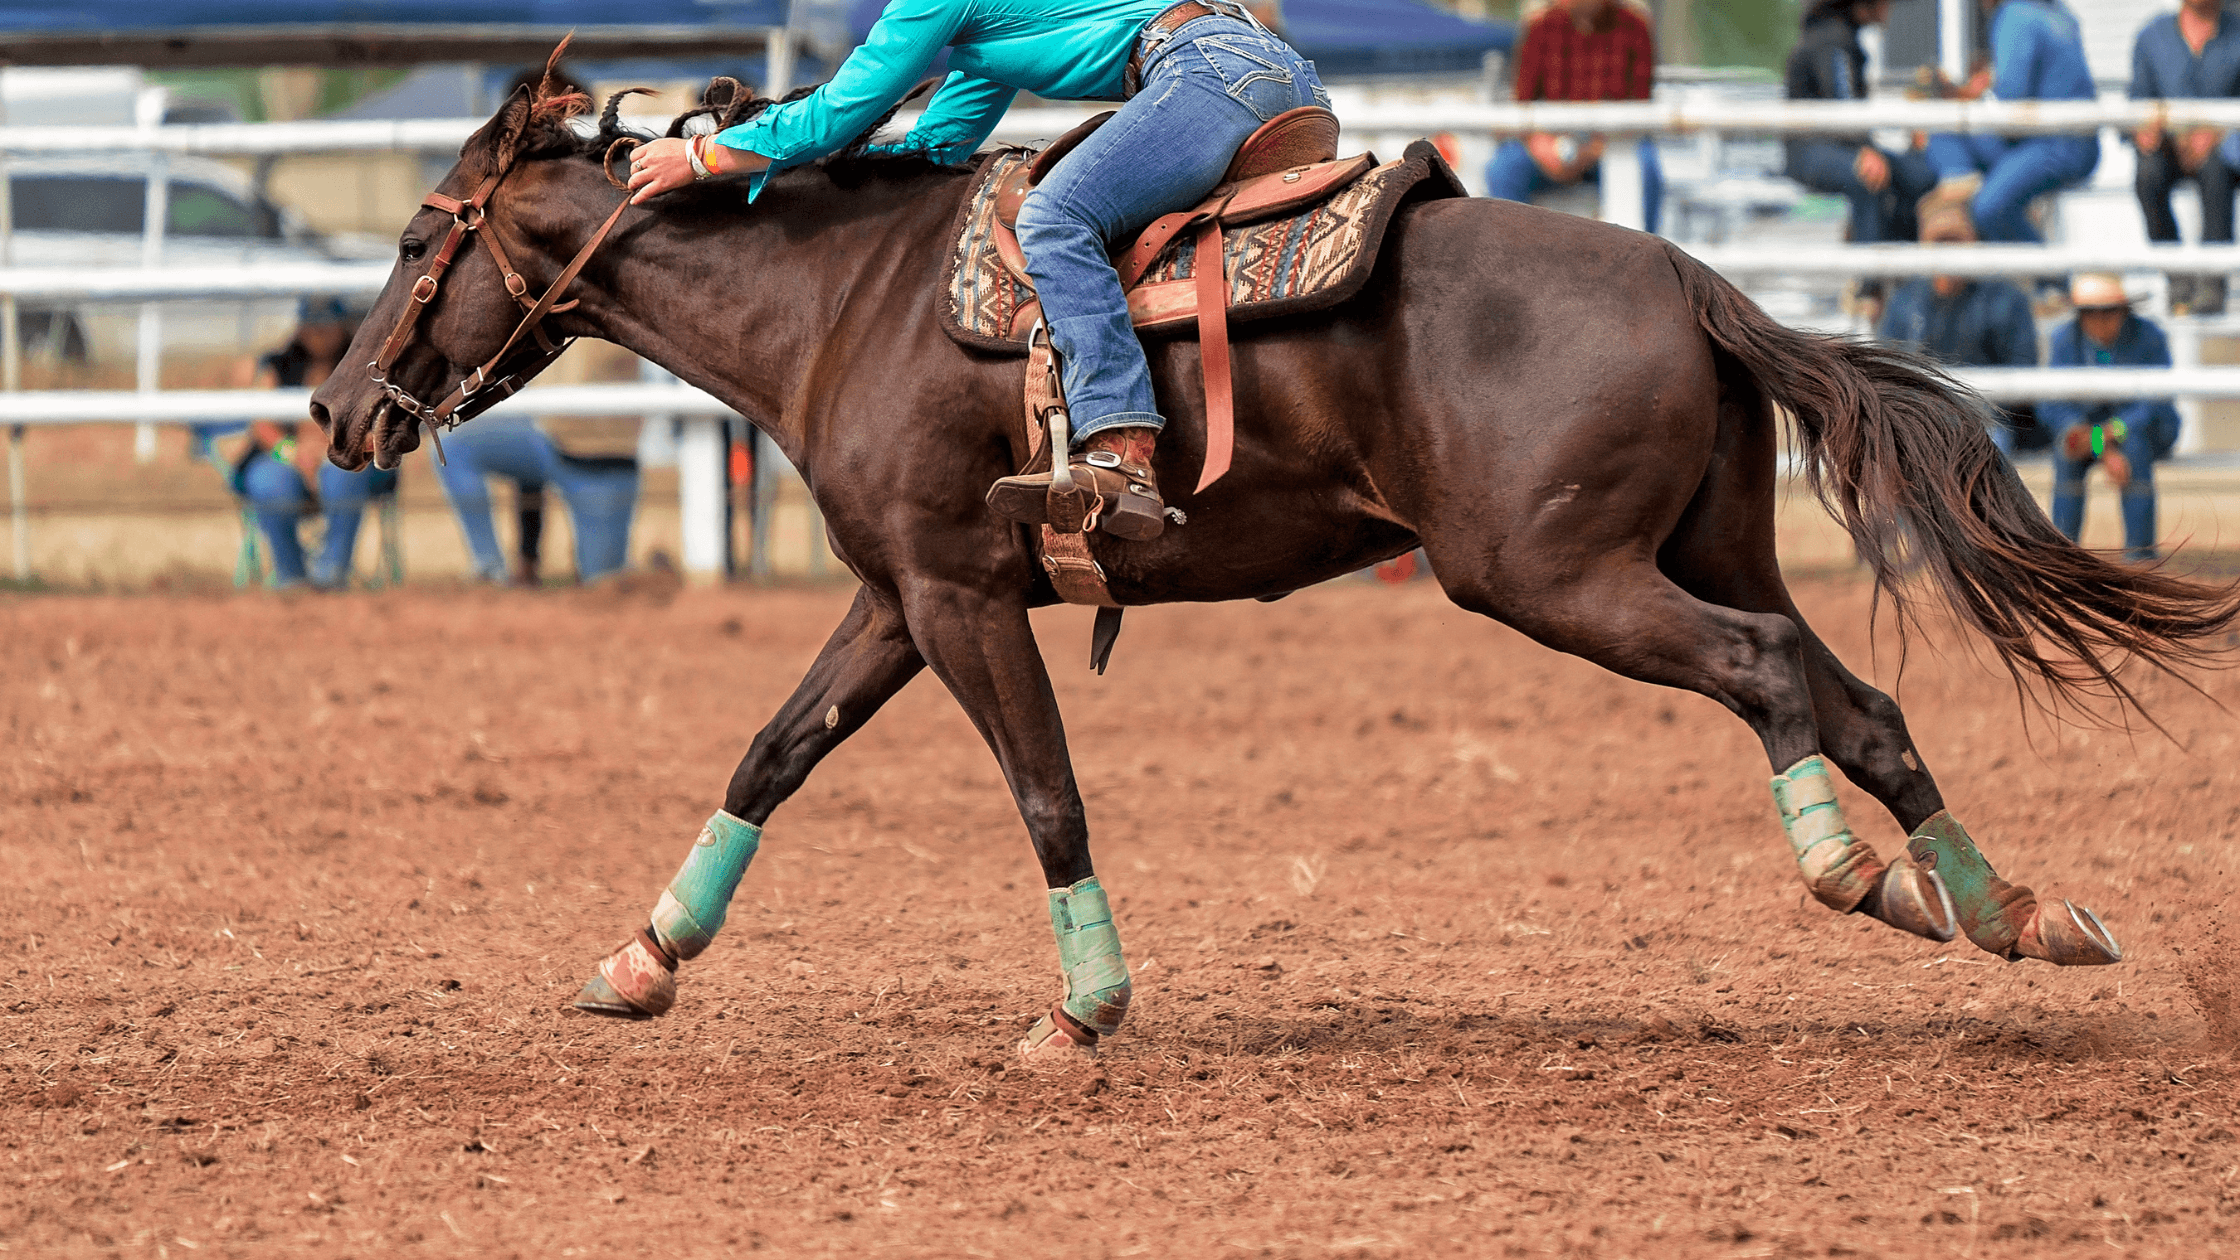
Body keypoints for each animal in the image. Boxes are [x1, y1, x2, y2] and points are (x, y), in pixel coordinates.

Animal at [310, 78, 2238, 1059]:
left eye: (409, 237)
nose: (334, 406)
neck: (844, 299)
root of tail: (1690, 278)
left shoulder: (961, 600)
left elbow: (1046, 795)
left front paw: (1085, 1013)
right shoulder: (896, 596)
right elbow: (773, 751)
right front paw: (644, 958)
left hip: (1550, 575)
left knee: (1773, 684)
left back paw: (1859, 879)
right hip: (1698, 549)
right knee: (1862, 697)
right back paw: (2008, 910)